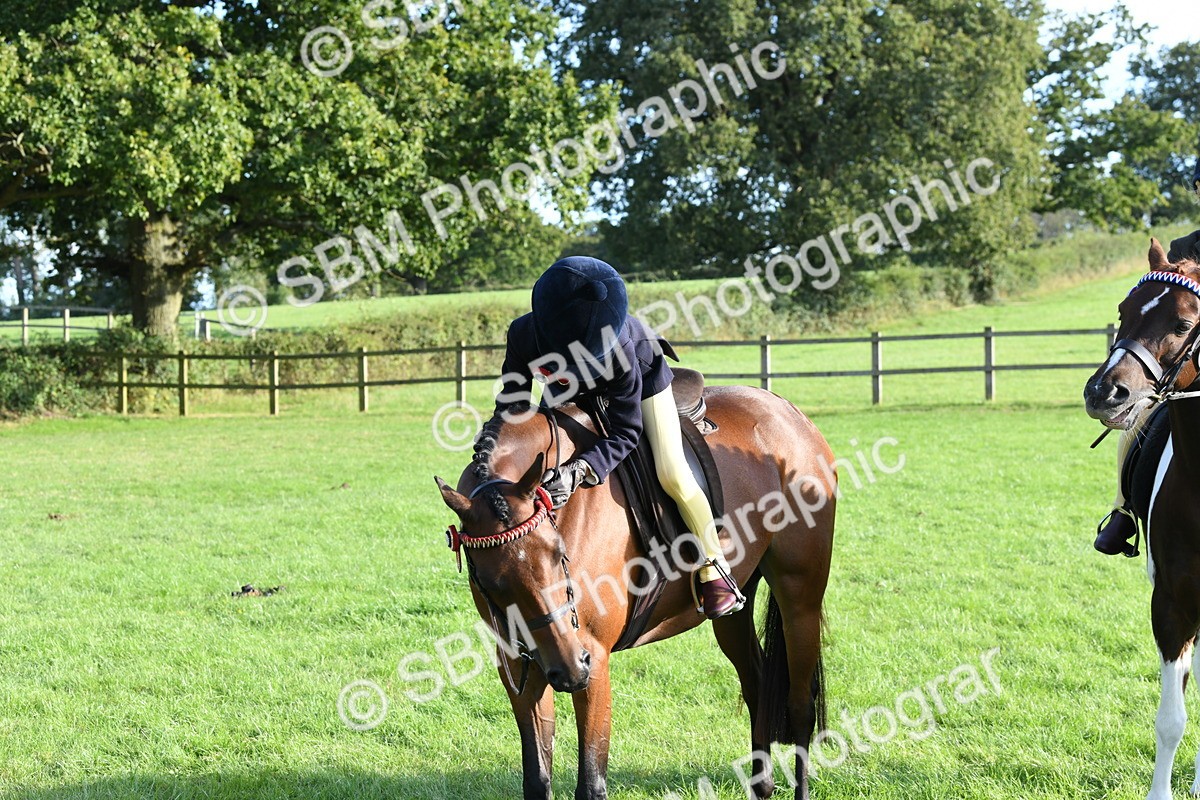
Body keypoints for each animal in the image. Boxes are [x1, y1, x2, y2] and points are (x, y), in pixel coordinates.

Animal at [435, 384, 837, 799]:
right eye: (490, 581)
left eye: (558, 553)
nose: (568, 668)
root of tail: (785, 409)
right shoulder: (519, 666)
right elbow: (536, 778)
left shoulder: (594, 660)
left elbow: (591, 784)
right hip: (734, 608)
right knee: (757, 686)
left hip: (800, 596)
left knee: (800, 705)